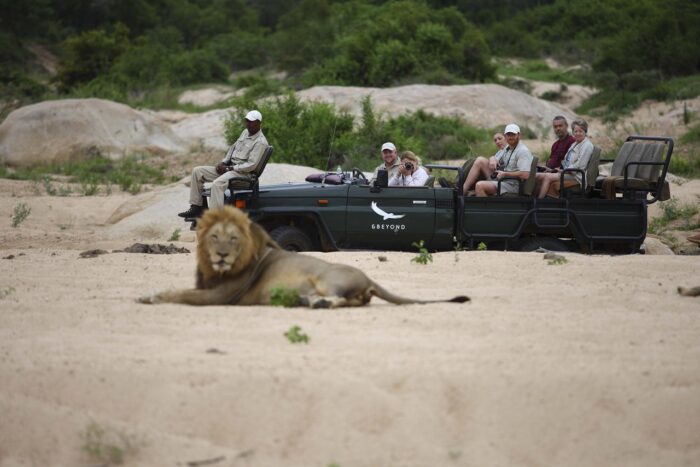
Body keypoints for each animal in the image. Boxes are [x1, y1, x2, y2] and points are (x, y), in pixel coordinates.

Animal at [139, 207, 468, 308]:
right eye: (213, 236)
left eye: (233, 238)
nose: (221, 255)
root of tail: (369, 278)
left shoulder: (220, 296)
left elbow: (178, 293)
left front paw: (150, 297)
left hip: (326, 278)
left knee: (336, 299)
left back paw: (314, 303)